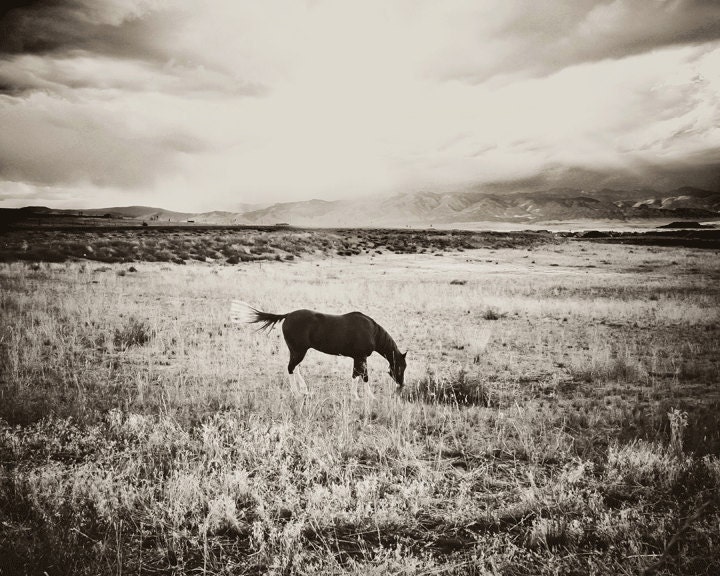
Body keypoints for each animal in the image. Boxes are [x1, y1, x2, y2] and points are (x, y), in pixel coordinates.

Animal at [230, 301, 407, 399]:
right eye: (400, 367)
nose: (401, 386)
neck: (371, 332)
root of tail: (287, 315)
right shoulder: (361, 357)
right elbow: (364, 376)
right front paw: (369, 397)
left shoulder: (357, 358)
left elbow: (355, 375)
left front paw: (355, 396)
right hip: (299, 351)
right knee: (290, 368)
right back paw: (297, 393)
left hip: (296, 351)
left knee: (295, 368)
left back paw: (305, 391)